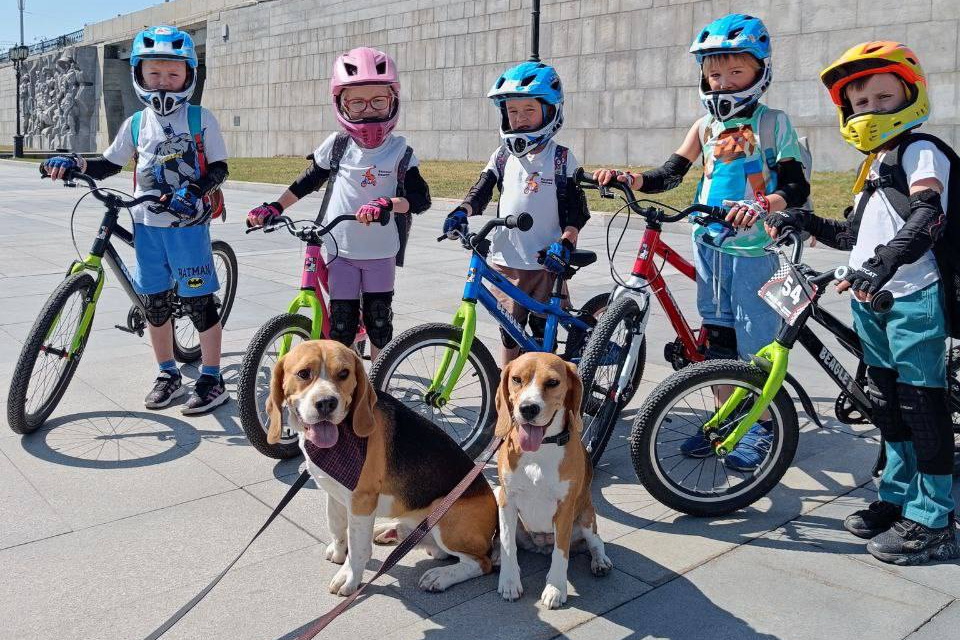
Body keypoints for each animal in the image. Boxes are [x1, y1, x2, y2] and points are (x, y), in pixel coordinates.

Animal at [267, 340, 498, 595]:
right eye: (304, 373)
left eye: (344, 374)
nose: (326, 403)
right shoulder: (334, 492)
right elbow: (337, 526)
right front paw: (338, 552)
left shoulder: (361, 499)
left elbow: (357, 547)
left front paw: (349, 577)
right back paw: (387, 531)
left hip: (445, 512)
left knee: (480, 562)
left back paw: (440, 576)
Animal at [495, 352, 612, 608]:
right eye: (516, 379)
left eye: (552, 382)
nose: (528, 408)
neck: (540, 451)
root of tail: (541, 546)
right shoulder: (506, 500)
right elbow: (507, 544)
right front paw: (509, 581)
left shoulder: (565, 508)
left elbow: (561, 552)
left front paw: (555, 588)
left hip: (586, 516)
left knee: (596, 541)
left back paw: (600, 561)